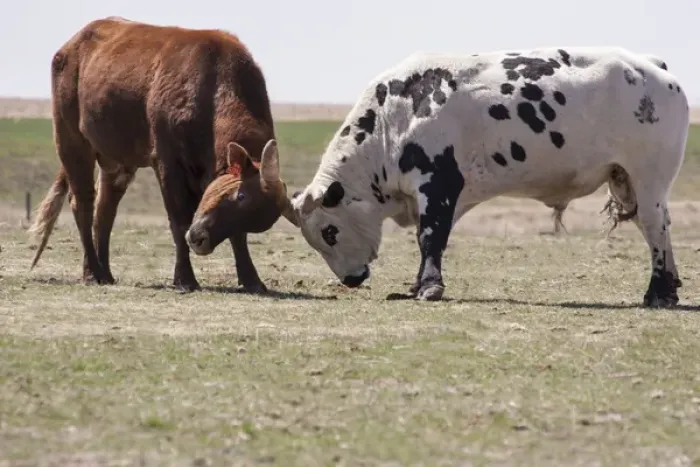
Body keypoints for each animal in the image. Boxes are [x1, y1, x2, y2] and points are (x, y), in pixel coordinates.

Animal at [28, 17, 296, 293]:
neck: (211, 87)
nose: (200, 240)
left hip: (117, 163)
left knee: (104, 211)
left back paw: (106, 273)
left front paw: (252, 279)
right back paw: (92, 273)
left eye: (248, 212)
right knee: (82, 204)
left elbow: (237, 236)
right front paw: (185, 278)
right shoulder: (168, 164)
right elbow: (178, 221)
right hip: (72, 143)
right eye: (240, 195)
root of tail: (71, 45)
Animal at [287, 47, 689, 307]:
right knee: (657, 225)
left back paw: (657, 292)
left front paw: (429, 288)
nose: (350, 280)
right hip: (624, 180)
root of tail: (651, 65)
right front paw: (415, 286)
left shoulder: (438, 184)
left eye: (329, 231)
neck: (396, 115)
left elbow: (430, 237)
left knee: (654, 227)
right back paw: (670, 287)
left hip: (648, 178)